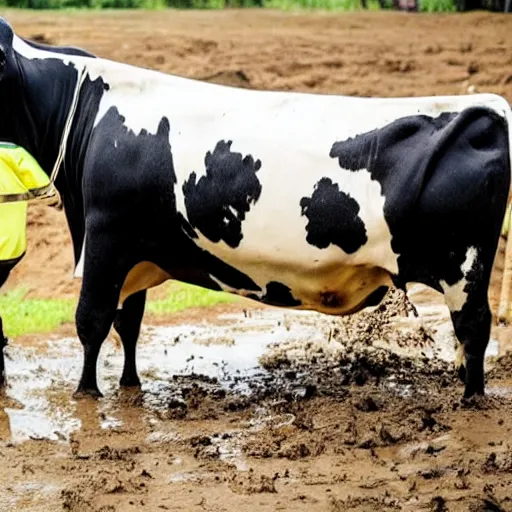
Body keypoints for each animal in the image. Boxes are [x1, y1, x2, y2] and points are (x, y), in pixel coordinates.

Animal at [0, 17, 510, 400]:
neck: (91, 114)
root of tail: (486, 107)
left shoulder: (105, 235)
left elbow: (91, 321)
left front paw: (86, 393)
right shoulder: (137, 250)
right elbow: (129, 324)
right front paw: (129, 384)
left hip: (465, 267)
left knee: (474, 329)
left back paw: (472, 399)